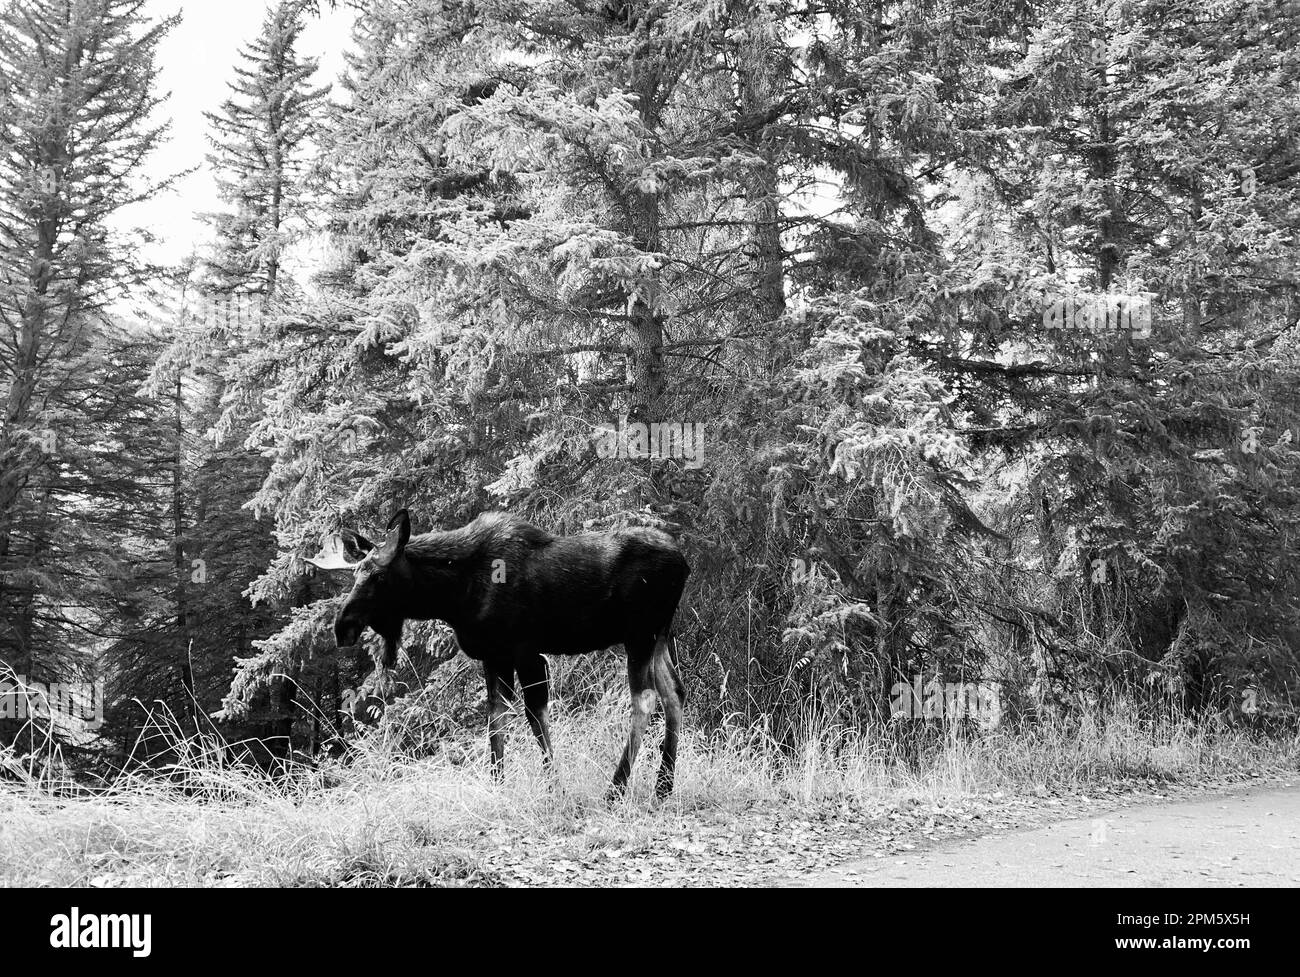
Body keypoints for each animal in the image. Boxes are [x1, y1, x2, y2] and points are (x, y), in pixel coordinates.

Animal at [308, 506, 691, 795]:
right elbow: (495, 720)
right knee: (674, 692)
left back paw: (617, 788)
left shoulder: (526, 651)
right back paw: (664, 786)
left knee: (645, 699)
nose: (342, 628)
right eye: (355, 575)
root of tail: (684, 564)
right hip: (659, 636)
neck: (453, 596)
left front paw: (554, 787)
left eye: (379, 577)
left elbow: (535, 718)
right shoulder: (494, 656)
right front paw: (497, 783)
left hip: (640, 634)